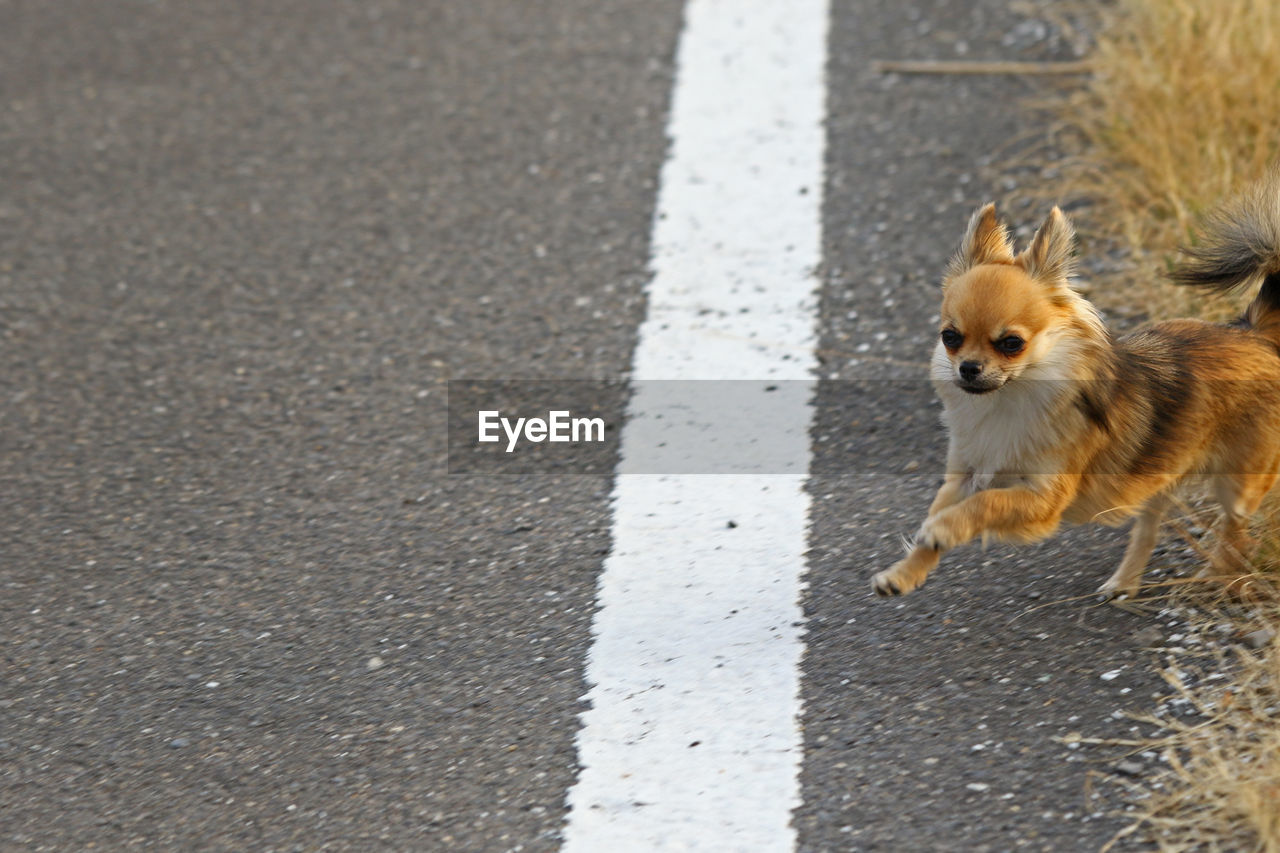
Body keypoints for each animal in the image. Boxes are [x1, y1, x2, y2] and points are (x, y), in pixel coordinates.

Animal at [875, 178, 1280, 596]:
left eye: (1011, 343)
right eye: (950, 337)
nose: (968, 368)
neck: (1010, 399)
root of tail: (1254, 333)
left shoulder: (1044, 498)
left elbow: (984, 505)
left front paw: (940, 531)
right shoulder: (965, 477)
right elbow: (943, 515)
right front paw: (904, 573)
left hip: (1240, 485)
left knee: (1238, 531)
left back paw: (1217, 575)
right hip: (1161, 470)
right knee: (1149, 527)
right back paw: (1125, 582)